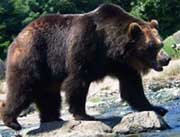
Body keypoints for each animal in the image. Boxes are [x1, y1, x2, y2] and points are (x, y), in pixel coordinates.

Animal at [1, 2, 170, 130]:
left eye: (160, 43)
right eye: (151, 46)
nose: (166, 58)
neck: (110, 45)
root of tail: (19, 36)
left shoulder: (121, 64)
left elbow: (133, 87)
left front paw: (157, 108)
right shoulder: (85, 46)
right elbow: (77, 81)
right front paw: (85, 114)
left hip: (48, 70)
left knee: (48, 93)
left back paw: (52, 118)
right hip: (34, 56)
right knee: (22, 88)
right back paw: (12, 121)